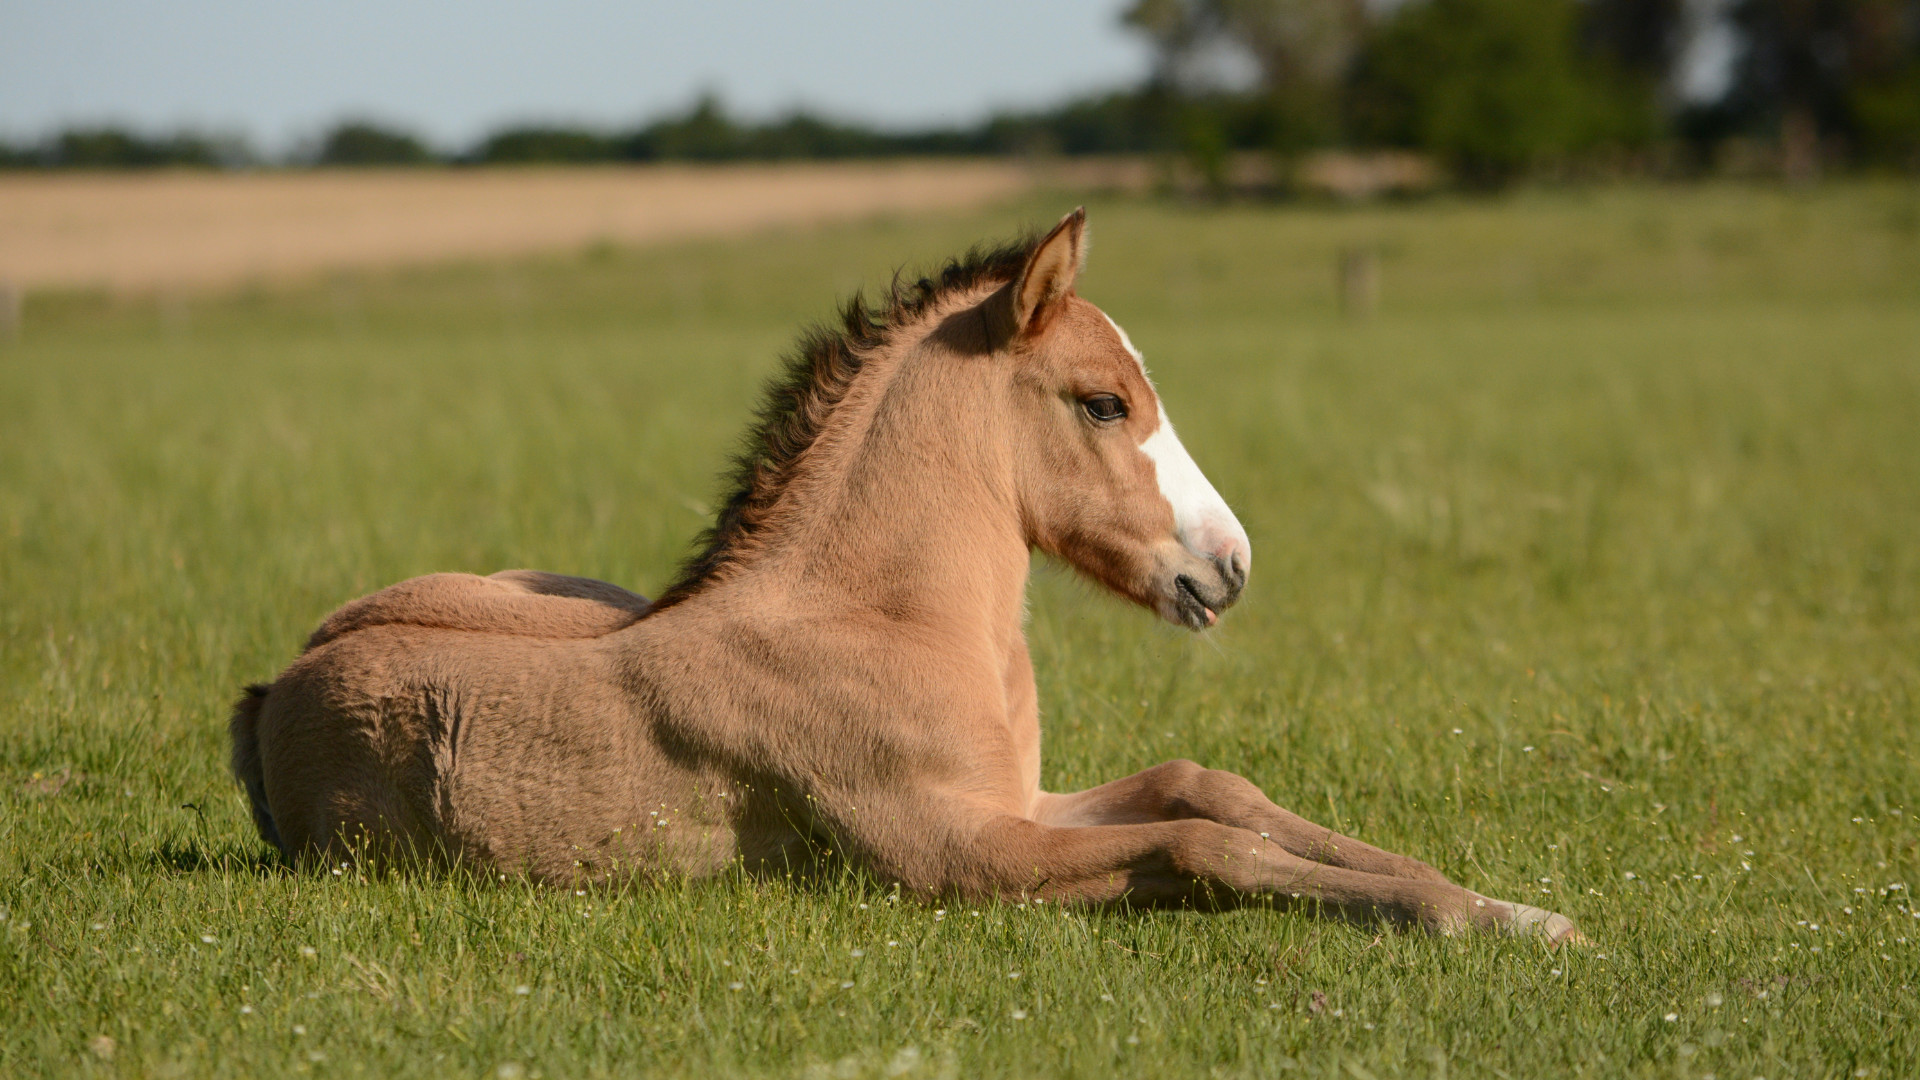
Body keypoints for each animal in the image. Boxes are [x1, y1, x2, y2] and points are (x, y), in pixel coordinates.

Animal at [231, 209, 1579, 944]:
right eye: (1103, 401)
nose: (1230, 565)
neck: (883, 623)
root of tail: (271, 687)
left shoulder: (1021, 802)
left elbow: (1212, 790)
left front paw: (1508, 907)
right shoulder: (956, 854)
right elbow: (1207, 847)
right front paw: (1479, 920)